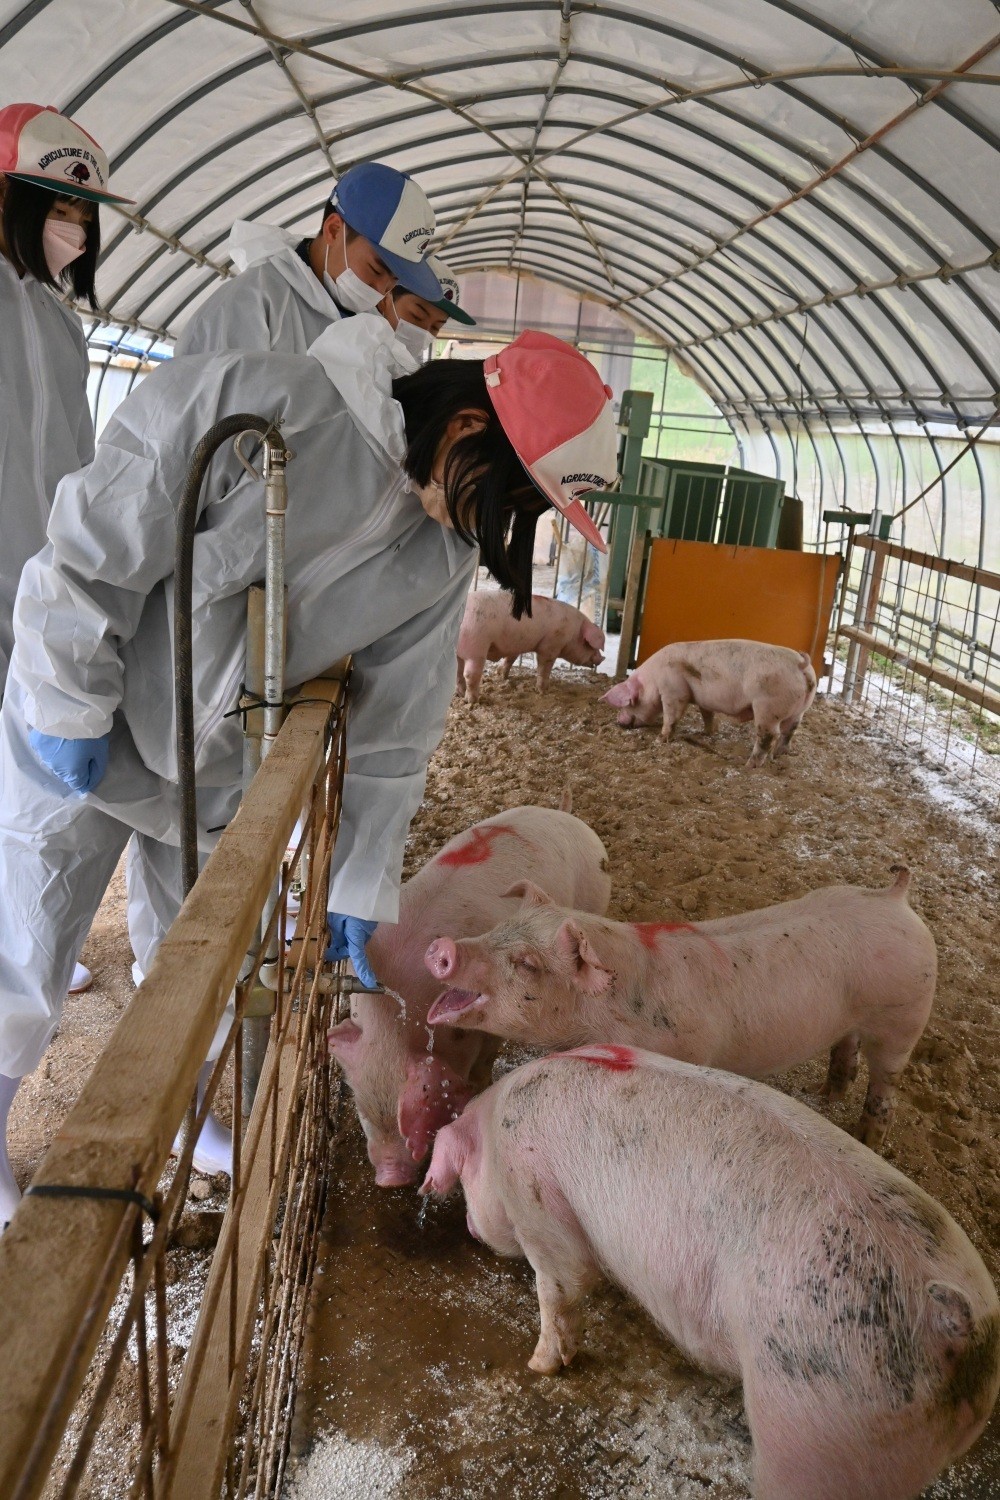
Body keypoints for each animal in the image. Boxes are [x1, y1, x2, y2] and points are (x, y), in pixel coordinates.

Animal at [328, 804, 611, 1188]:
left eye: (404, 1123)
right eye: (366, 1115)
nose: (389, 1179)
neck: (394, 1026)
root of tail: (568, 817)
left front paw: (478, 1085)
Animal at [422, 1044, 1000, 1500]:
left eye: (465, 1180)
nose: (469, 1226)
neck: (495, 1131)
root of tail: (954, 1324)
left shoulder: (538, 1202)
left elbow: (561, 1285)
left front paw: (539, 1365)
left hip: (820, 1426)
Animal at [425, 870, 941, 1146]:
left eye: (528, 963)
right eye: (499, 929)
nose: (442, 946)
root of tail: (895, 898)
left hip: (903, 1018)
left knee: (884, 1084)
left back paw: (865, 1135)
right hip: (856, 1018)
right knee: (845, 1050)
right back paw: (827, 1094)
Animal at [458, 588, 605, 705]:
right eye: (589, 645)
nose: (602, 658)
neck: (574, 632)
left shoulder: (515, 644)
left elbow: (510, 659)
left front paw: (502, 676)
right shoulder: (551, 645)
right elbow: (544, 667)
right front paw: (543, 691)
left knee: (458, 672)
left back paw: (460, 693)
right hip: (476, 645)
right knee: (470, 674)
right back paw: (473, 701)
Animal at [605, 639, 815, 768]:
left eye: (628, 703)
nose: (618, 721)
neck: (653, 680)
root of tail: (800, 664)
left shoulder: (674, 691)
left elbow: (671, 717)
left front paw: (659, 740)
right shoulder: (703, 700)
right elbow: (707, 714)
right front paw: (706, 733)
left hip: (767, 708)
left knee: (769, 735)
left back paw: (749, 765)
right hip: (798, 712)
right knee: (789, 731)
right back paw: (779, 755)